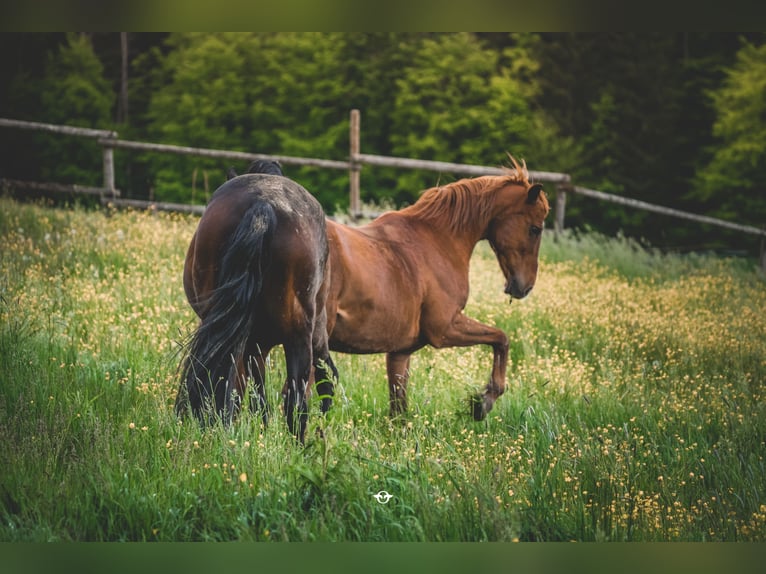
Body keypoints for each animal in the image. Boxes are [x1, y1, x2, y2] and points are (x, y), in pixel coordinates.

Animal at [328, 160, 548, 420]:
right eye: (534, 229)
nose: (525, 287)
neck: (437, 240)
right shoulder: (444, 329)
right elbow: (501, 339)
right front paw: (483, 401)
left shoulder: (400, 352)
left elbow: (398, 411)